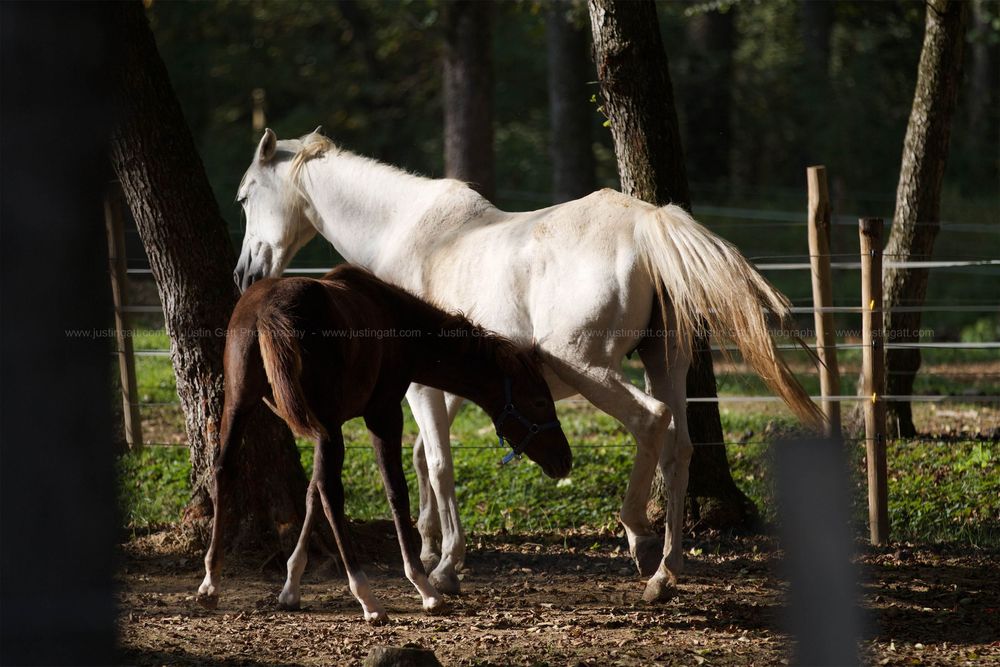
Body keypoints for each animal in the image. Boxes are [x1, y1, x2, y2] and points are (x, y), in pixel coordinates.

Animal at [196, 264, 572, 623]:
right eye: (539, 401)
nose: (564, 459)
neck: (397, 320)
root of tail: (268, 311)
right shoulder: (383, 414)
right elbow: (395, 491)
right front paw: (424, 587)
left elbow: (311, 492)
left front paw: (290, 586)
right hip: (324, 423)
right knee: (333, 493)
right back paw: (367, 597)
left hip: (241, 404)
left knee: (224, 469)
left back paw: (211, 582)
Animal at [233, 128, 824, 603]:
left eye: (245, 196)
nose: (244, 273)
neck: (409, 234)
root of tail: (648, 222)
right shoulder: (451, 388)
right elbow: (426, 460)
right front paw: (430, 549)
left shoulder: (422, 388)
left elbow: (440, 464)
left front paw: (445, 567)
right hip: (666, 365)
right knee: (678, 445)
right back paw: (665, 573)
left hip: (592, 369)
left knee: (650, 422)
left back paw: (637, 535)